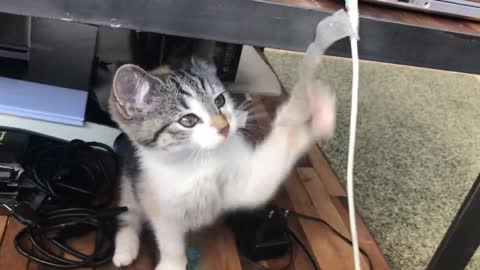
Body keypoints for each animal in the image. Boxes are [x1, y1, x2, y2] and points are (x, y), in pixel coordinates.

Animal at [109, 57, 334, 270]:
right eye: (188, 120)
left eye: (219, 100)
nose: (224, 127)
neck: (199, 161)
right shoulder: (158, 199)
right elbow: (169, 239)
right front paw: (172, 264)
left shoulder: (242, 182)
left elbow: (259, 181)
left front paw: (313, 112)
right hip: (130, 181)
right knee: (128, 213)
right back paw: (125, 250)